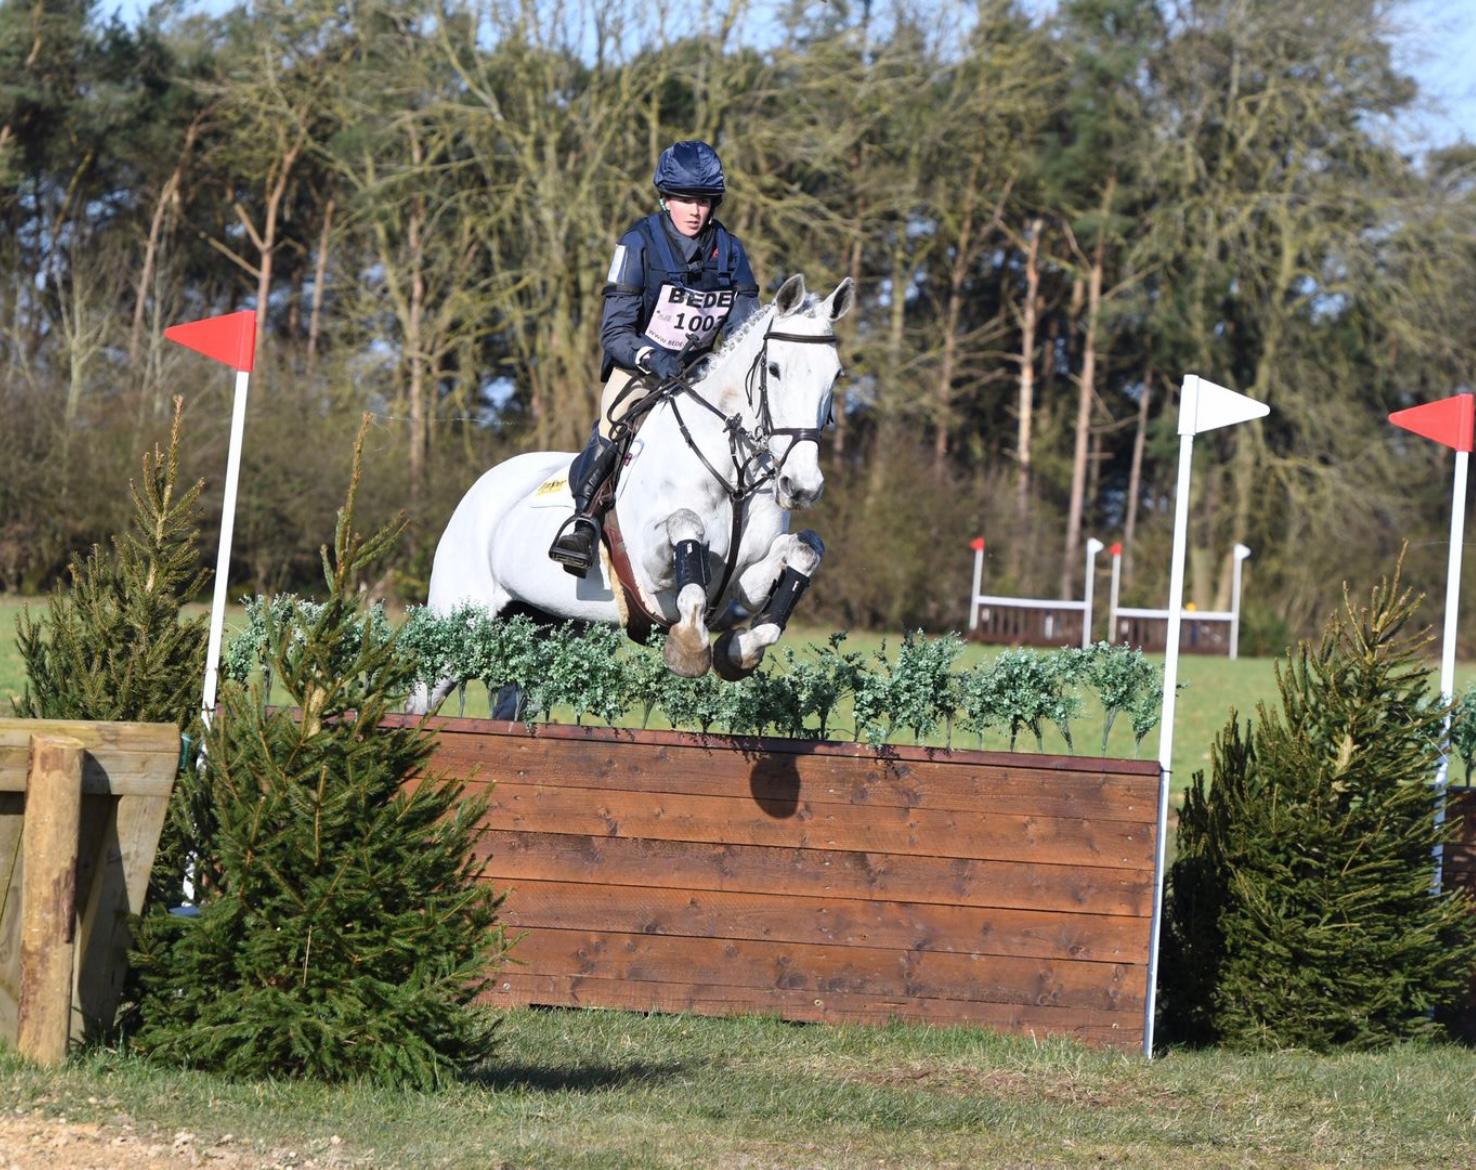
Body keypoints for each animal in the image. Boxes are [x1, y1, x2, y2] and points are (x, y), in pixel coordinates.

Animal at [410, 274, 854, 714]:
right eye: (774, 370)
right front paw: (690, 647)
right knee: (420, 698)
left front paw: (738, 651)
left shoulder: (738, 590)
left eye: (835, 376)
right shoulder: (649, 573)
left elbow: (804, 550)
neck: (735, 476)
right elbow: (687, 528)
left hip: (545, 631)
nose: (802, 486)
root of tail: (481, 486)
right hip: (455, 630)